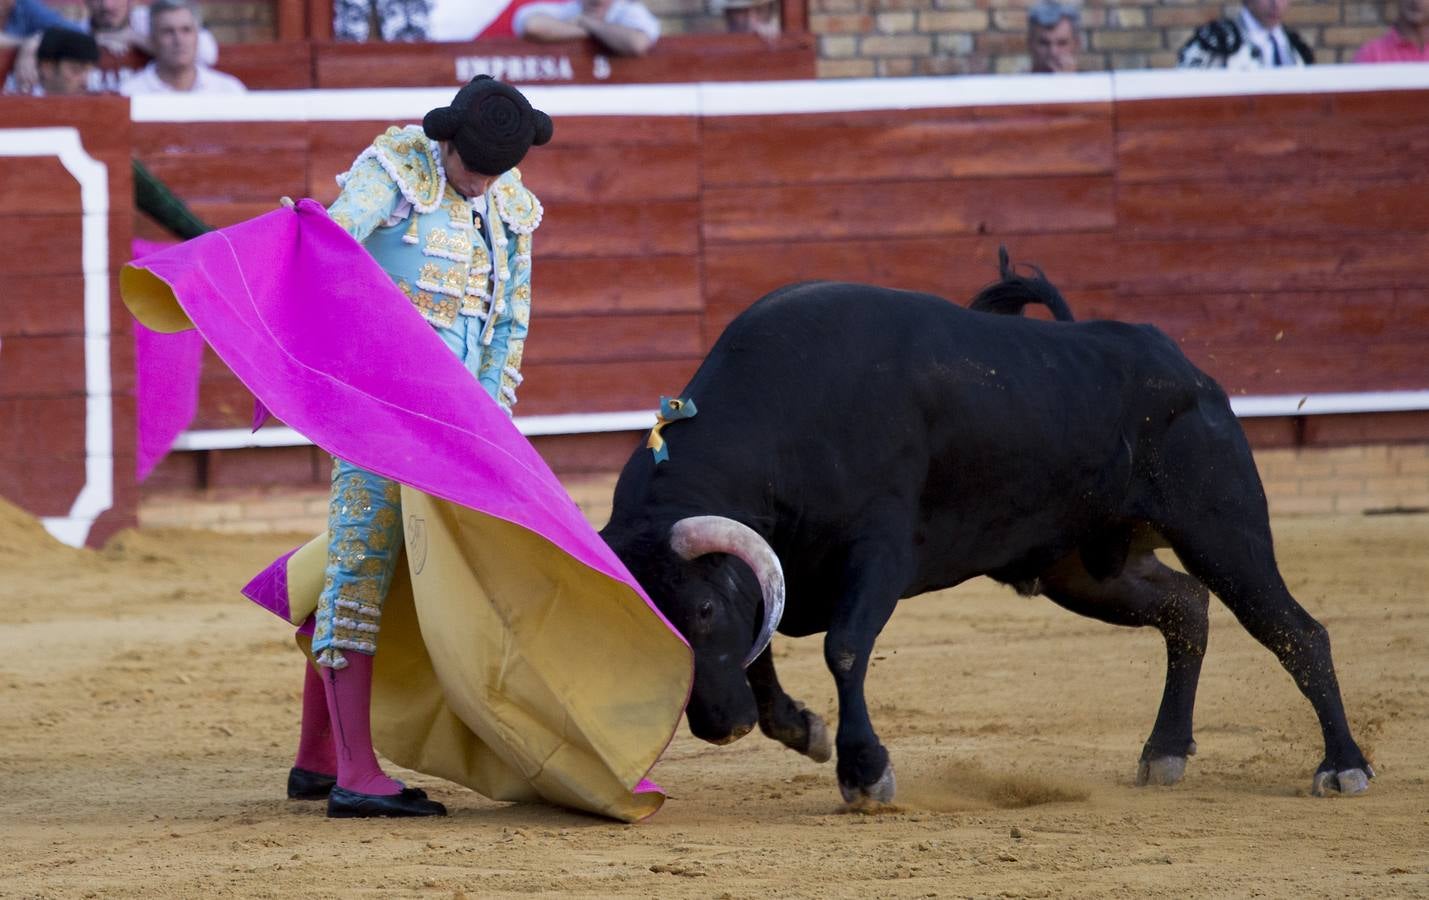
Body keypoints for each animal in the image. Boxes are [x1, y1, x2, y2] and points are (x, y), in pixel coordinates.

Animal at [600, 261, 1371, 811]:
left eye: (701, 610)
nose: (717, 727)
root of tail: (1188, 370)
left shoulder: (878, 553)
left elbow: (843, 648)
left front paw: (865, 774)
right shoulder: (779, 570)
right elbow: (760, 652)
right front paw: (805, 731)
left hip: (1221, 528)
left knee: (1294, 631)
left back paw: (1343, 767)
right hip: (1084, 567)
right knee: (1185, 607)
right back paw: (1163, 753)